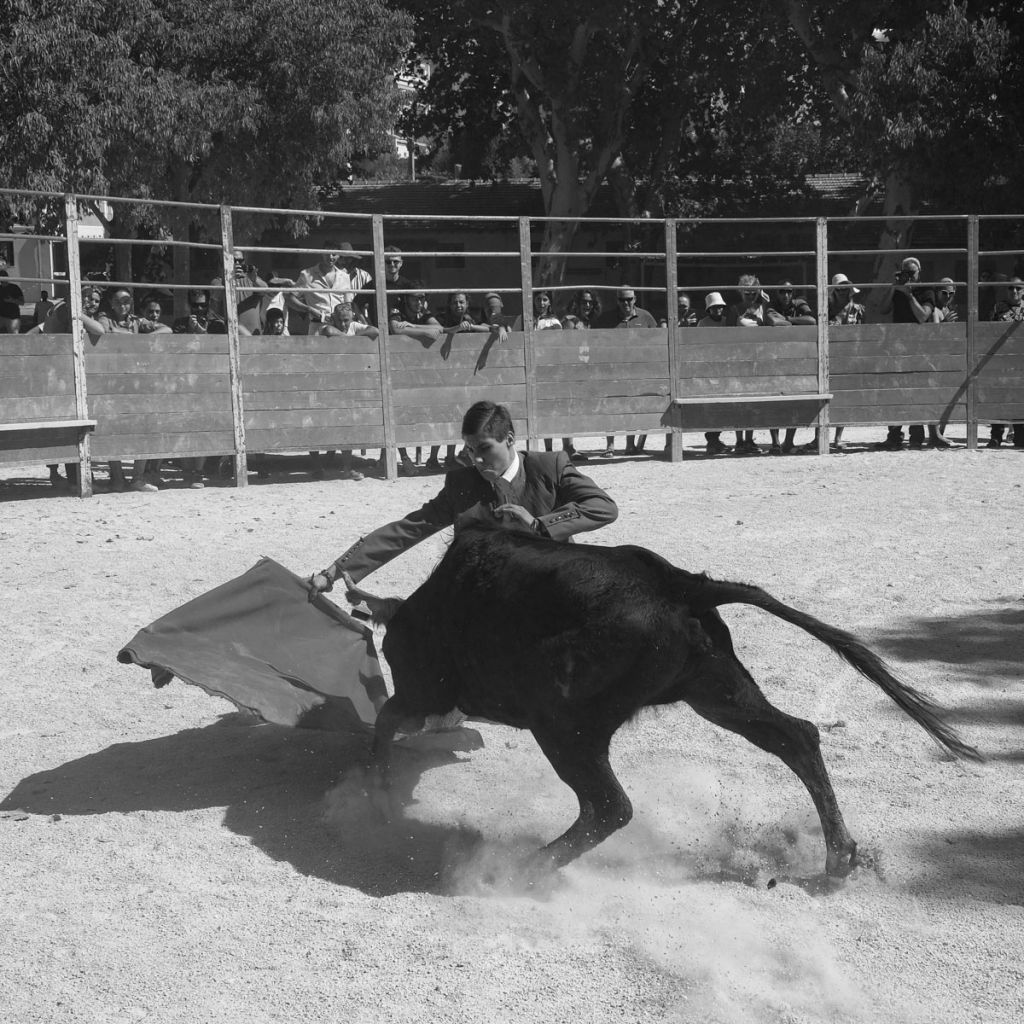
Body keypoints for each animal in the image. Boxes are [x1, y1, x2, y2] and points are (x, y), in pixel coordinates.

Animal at [348, 524, 978, 876]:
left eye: (394, 654)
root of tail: (680, 584)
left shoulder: (427, 687)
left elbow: (387, 716)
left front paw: (377, 796)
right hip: (718, 692)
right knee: (797, 736)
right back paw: (839, 855)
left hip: (563, 722)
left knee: (610, 806)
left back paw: (526, 868)